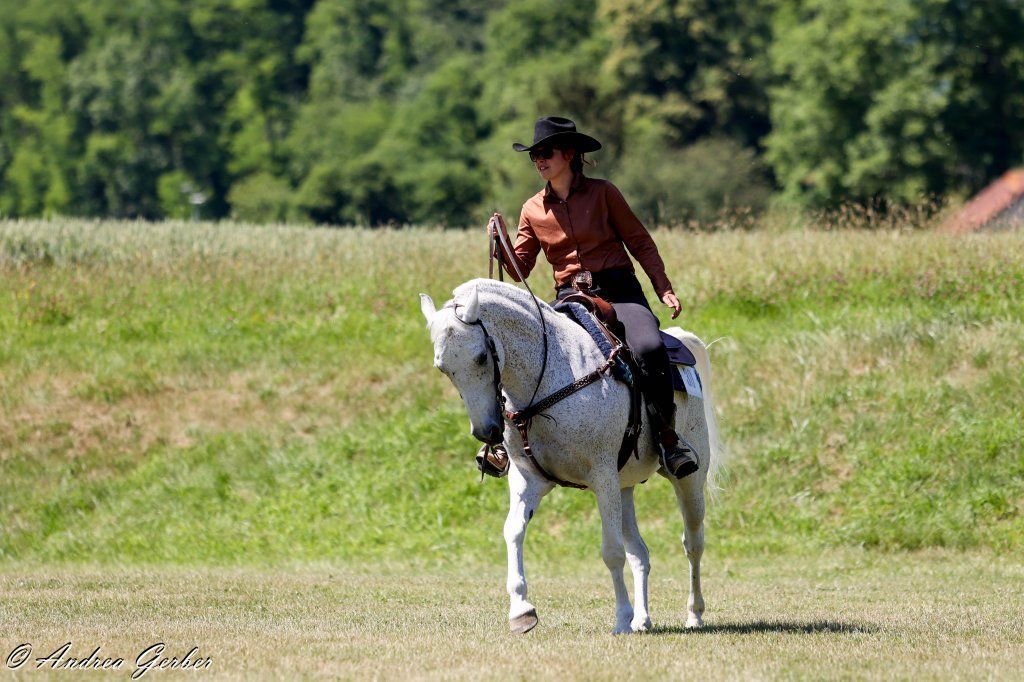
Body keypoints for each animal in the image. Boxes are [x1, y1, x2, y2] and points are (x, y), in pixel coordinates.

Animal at [419, 278, 723, 634]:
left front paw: (620, 618)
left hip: (688, 480)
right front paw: (521, 610)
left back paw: (694, 613)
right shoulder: (530, 480)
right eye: (443, 368)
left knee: (693, 543)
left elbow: (611, 551)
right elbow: (513, 531)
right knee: (640, 553)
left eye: (481, 357)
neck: (549, 379)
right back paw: (642, 619)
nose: (486, 432)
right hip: (624, 487)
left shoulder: (602, 478)